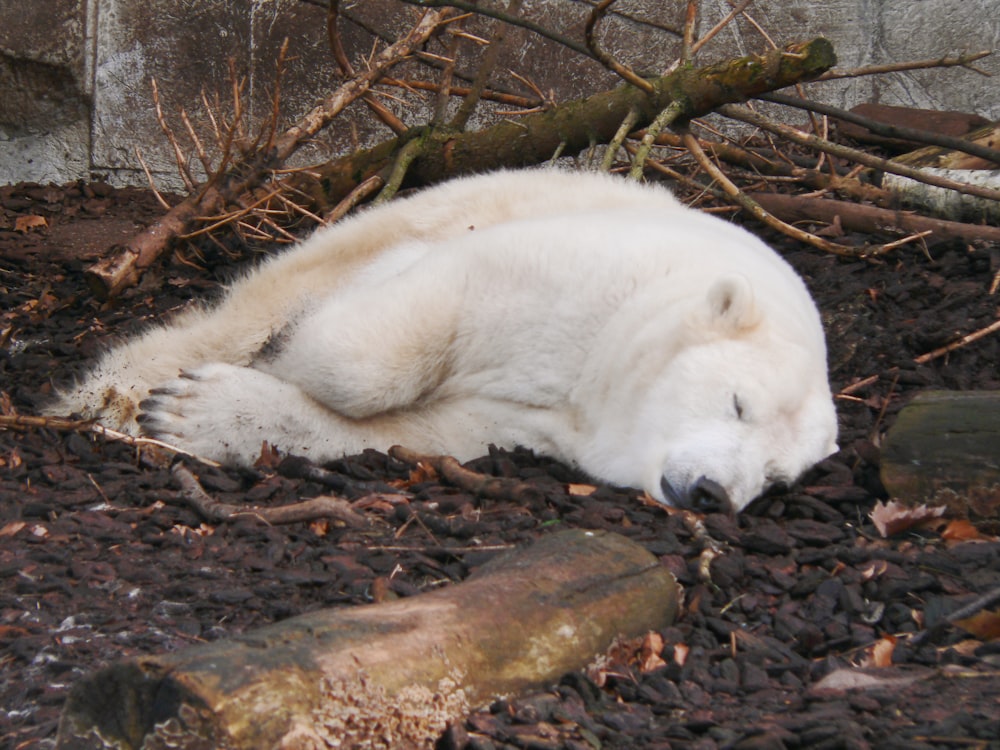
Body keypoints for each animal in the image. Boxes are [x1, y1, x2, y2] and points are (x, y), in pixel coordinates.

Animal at [50, 169, 840, 516]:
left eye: (776, 479)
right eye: (737, 402)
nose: (713, 493)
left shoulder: (541, 430)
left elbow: (432, 432)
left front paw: (206, 414)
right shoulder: (568, 272)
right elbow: (390, 336)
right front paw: (278, 361)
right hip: (473, 197)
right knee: (281, 286)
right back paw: (111, 392)